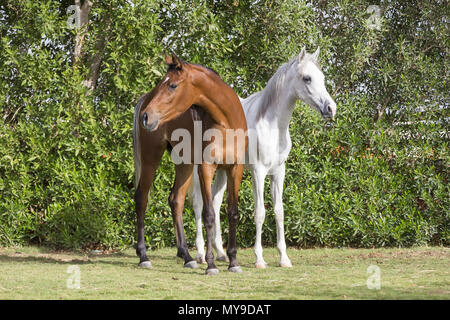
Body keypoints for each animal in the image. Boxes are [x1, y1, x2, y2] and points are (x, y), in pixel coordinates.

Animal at [134, 53, 248, 276]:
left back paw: (186, 256)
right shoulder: (206, 168)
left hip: (184, 163)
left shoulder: (235, 169)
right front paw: (211, 264)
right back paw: (143, 256)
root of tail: (144, 100)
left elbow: (233, 213)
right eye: (162, 84)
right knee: (142, 198)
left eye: (173, 85)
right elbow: (209, 214)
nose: (147, 116)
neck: (226, 122)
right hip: (151, 158)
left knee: (175, 199)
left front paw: (233, 261)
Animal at [189, 47, 334, 268]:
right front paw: (259, 259)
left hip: (222, 170)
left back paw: (221, 253)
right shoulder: (258, 172)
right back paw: (200, 254)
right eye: (307, 78)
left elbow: (279, 212)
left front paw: (284, 258)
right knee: (198, 204)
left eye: (323, 78)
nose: (330, 108)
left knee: (215, 202)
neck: (271, 124)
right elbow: (260, 213)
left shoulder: (278, 172)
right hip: (200, 168)